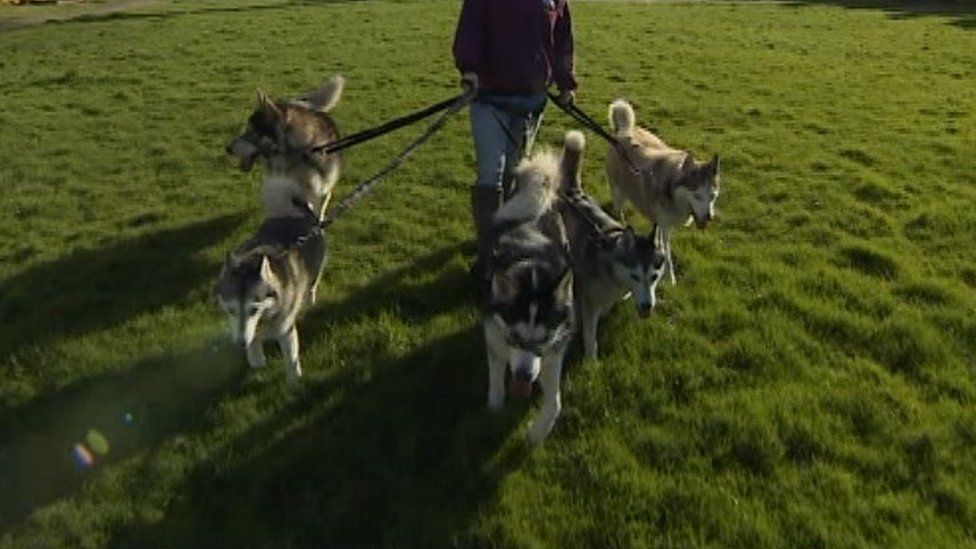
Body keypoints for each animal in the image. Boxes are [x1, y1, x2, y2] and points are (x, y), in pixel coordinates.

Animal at [214, 206, 324, 386]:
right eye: (231, 311)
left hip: (314, 271)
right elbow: (253, 340)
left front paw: (294, 384)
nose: (240, 344)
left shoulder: (286, 330)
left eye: (254, 310)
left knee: (311, 287)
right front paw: (255, 356)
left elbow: (291, 359)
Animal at [482, 140, 576, 440]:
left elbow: (554, 401)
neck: (532, 270)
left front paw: (536, 435)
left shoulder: (555, 348)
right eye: (514, 336)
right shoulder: (494, 335)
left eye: (542, 339)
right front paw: (494, 410)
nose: (524, 377)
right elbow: (496, 380)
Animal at [560, 130, 668, 360]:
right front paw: (591, 361)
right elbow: (590, 337)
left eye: (654, 277)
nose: (647, 306)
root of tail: (573, 193)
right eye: (635, 276)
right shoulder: (589, 304)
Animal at [608, 99, 720, 284]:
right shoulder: (666, 227)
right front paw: (671, 279)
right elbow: (667, 254)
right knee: (617, 209)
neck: (671, 189)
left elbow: (659, 241)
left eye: (712, 196)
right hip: (618, 191)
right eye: (697, 196)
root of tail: (624, 131)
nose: (709, 218)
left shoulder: (661, 222)